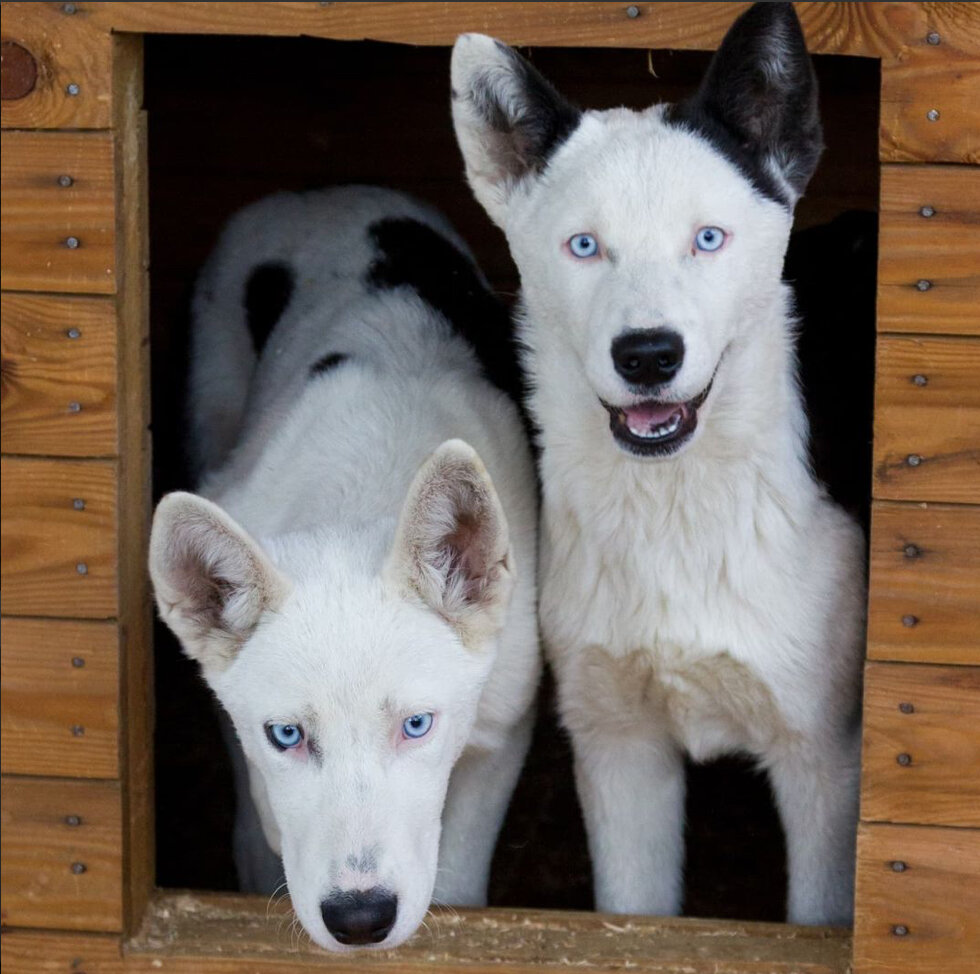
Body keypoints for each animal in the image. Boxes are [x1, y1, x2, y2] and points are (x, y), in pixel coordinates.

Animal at [149, 185, 540, 952]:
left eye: (417, 725)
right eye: (287, 736)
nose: (360, 919)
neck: (365, 491)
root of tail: (318, 190)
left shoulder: (501, 726)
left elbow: (457, 882)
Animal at [452, 1, 864, 932]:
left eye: (707, 239)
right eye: (584, 246)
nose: (647, 356)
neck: (679, 505)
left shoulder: (823, 760)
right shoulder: (618, 749)